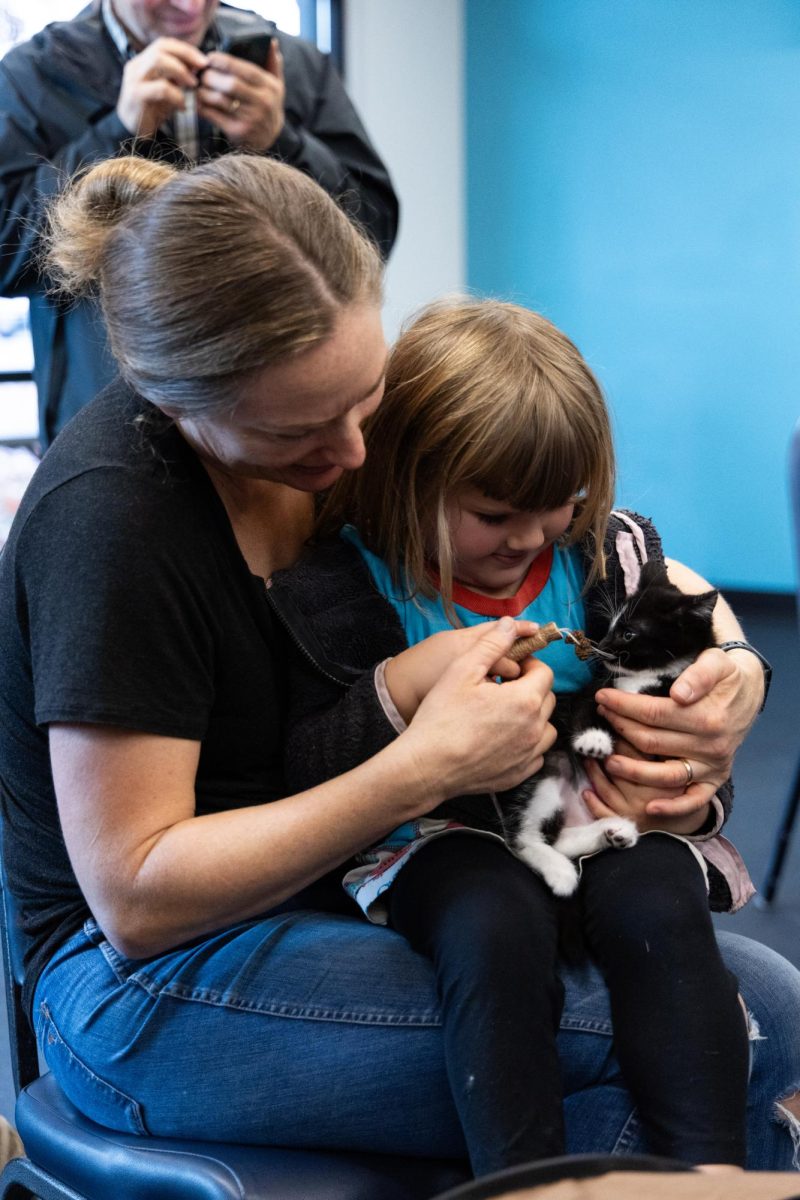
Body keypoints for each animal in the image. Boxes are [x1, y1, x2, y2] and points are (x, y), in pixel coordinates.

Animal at [503, 559, 714, 892]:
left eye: (628, 634)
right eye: (612, 626)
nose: (601, 644)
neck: (646, 675)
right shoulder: (597, 689)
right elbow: (586, 707)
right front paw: (594, 740)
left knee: (559, 838)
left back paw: (614, 832)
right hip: (548, 767)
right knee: (524, 836)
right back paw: (560, 871)